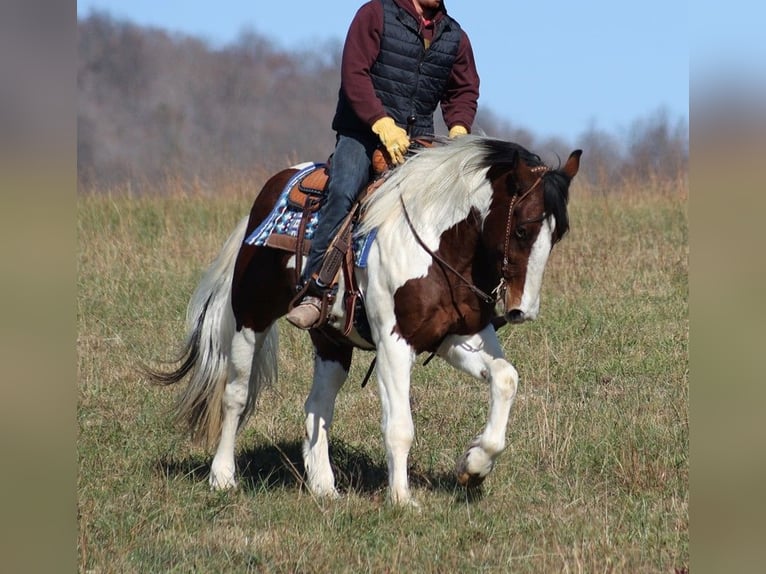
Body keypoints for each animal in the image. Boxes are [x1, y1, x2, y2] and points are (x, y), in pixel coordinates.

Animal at [148, 137, 584, 506]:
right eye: (523, 230)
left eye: (559, 233)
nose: (523, 310)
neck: (438, 243)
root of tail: (269, 192)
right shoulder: (394, 342)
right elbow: (400, 426)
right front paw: (402, 499)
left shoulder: (457, 336)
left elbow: (506, 378)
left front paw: (474, 467)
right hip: (251, 316)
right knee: (235, 394)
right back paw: (223, 477)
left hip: (330, 340)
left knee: (317, 406)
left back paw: (324, 487)